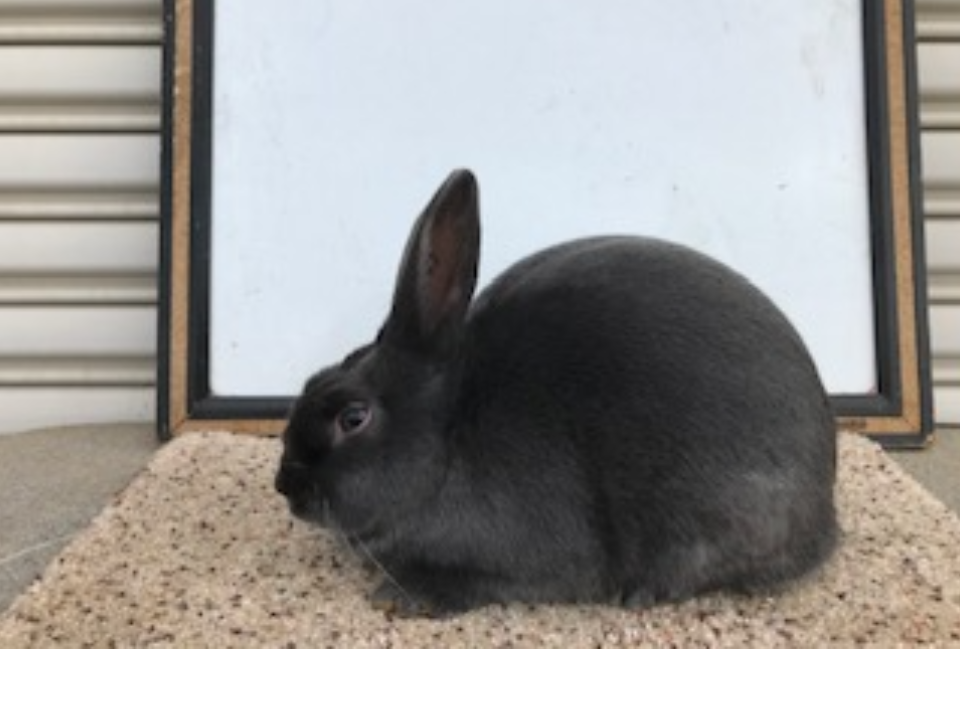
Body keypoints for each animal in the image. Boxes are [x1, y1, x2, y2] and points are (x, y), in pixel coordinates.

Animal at [276, 169, 839, 618]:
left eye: (353, 417)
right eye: (313, 381)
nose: (286, 486)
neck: (448, 437)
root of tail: (825, 518)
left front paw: (403, 596)